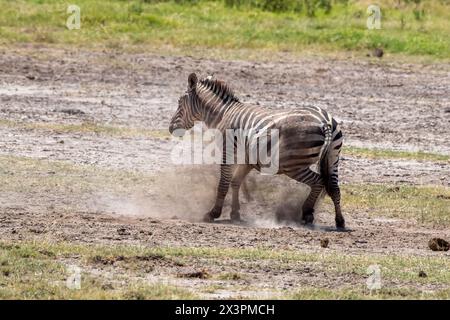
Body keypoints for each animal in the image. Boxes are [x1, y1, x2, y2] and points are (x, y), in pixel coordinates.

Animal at [169, 74, 344, 229]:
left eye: (179, 103)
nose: (170, 128)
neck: (223, 114)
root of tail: (325, 121)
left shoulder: (228, 153)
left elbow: (224, 184)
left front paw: (213, 214)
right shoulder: (248, 159)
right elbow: (235, 182)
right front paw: (235, 214)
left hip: (292, 164)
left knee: (318, 181)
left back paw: (307, 213)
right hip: (333, 157)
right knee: (334, 188)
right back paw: (339, 221)